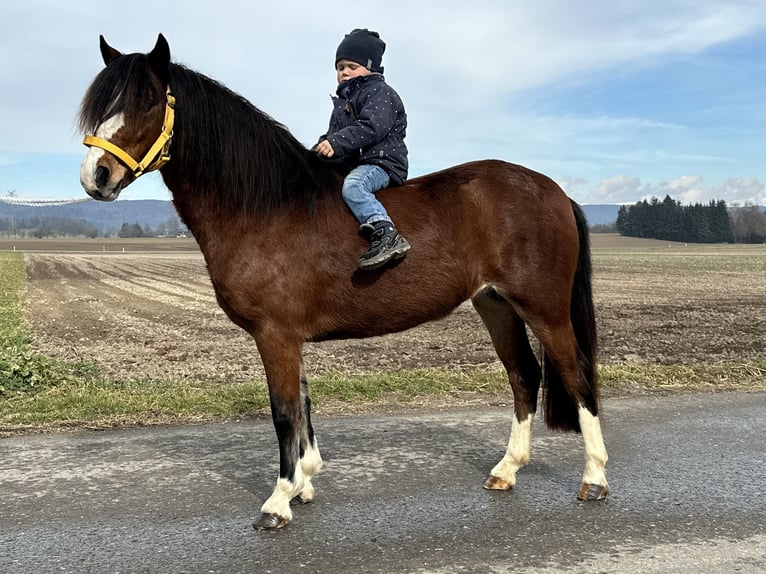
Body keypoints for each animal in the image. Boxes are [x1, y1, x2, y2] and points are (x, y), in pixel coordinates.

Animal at [78, 35, 612, 532]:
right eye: (102, 105)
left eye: (148, 100)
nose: (95, 177)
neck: (266, 207)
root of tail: (555, 190)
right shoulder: (288, 336)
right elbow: (303, 407)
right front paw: (304, 483)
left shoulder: (275, 335)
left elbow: (284, 413)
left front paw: (278, 501)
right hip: (496, 304)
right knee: (524, 375)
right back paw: (507, 470)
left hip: (544, 308)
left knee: (576, 375)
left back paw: (594, 478)